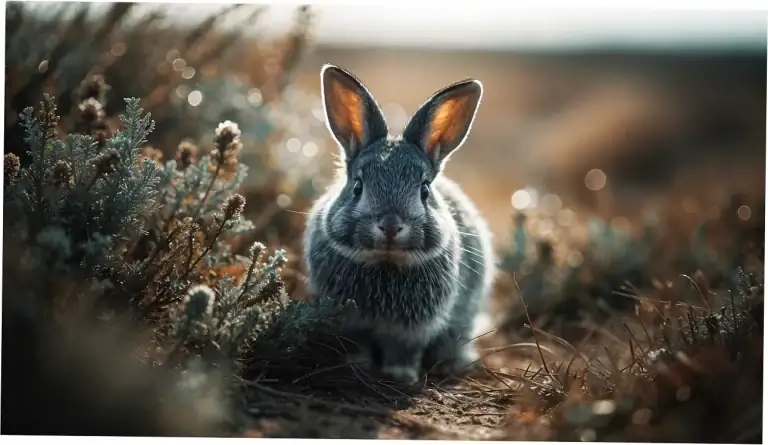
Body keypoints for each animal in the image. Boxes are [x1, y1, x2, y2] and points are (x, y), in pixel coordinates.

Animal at [303, 64, 495, 384]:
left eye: (425, 190)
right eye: (358, 187)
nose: (391, 226)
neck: (386, 261)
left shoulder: (413, 330)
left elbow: (404, 351)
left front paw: (400, 375)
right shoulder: (350, 323)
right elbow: (357, 345)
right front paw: (356, 366)